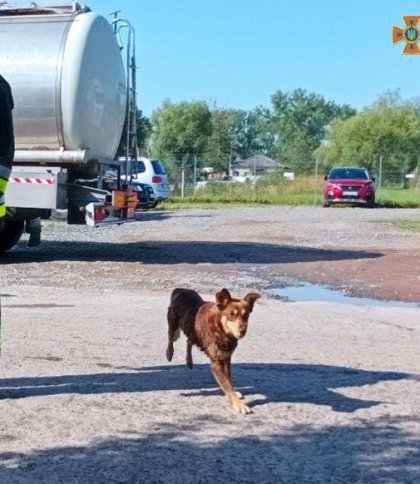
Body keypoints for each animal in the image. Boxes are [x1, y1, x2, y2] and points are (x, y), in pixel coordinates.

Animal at [167, 286, 260, 414]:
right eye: (231, 314)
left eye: (246, 315)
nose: (243, 331)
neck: (220, 328)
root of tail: (180, 289)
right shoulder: (216, 363)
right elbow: (226, 384)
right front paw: (238, 404)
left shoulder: (226, 358)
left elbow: (228, 379)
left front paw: (234, 393)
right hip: (174, 327)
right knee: (170, 338)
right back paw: (169, 353)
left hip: (191, 331)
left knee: (189, 341)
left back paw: (189, 361)